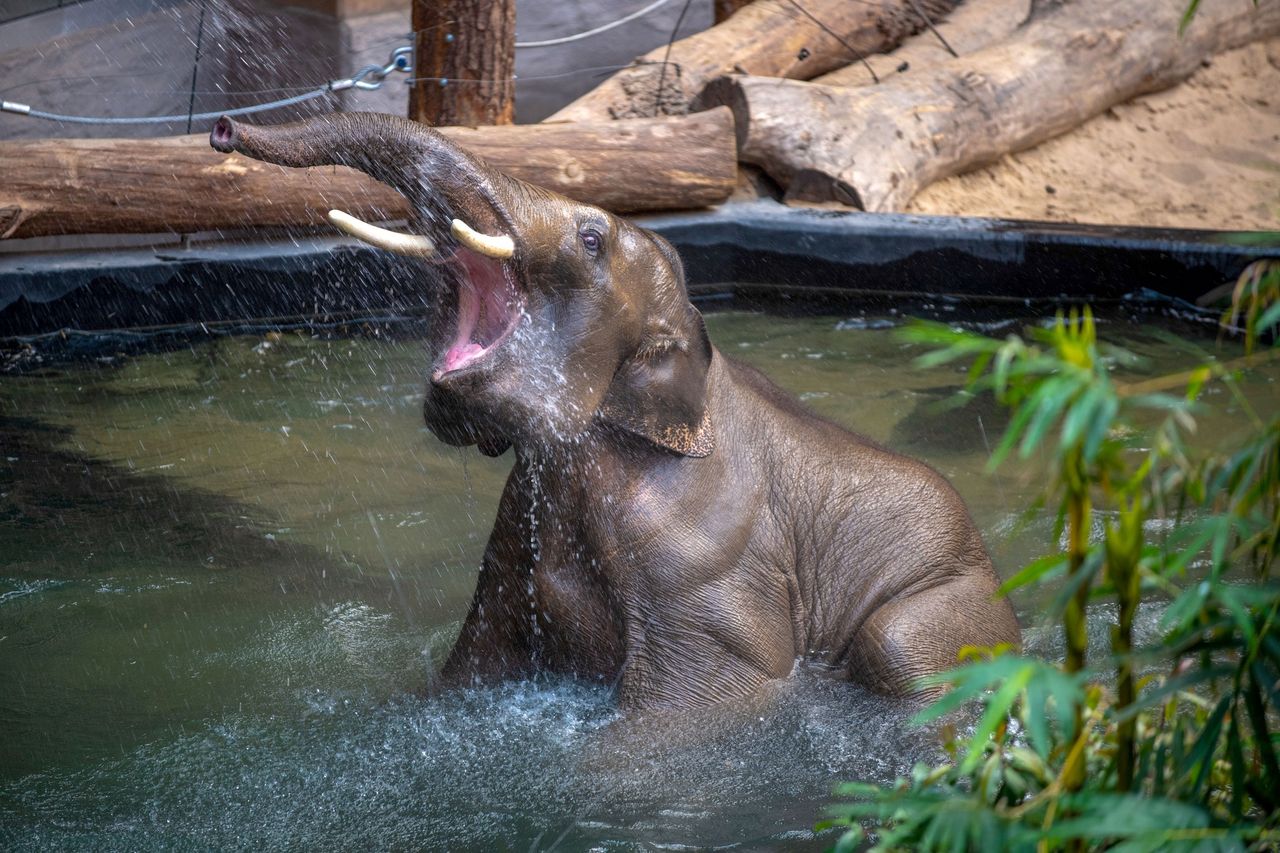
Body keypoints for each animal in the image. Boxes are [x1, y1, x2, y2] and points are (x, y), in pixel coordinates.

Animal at [215, 112, 1024, 712]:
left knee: (901, 649)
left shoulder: (706, 553)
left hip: (945, 605)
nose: (221, 129)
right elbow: (465, 673)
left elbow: (702, 705)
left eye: (591, 239)